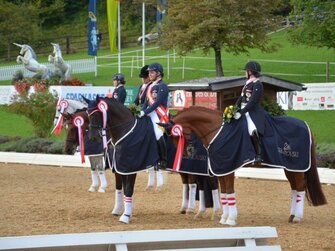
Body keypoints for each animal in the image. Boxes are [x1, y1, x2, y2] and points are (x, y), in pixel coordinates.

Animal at [167, 106, 328, 226]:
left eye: (176, 134)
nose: (185, 152)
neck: (218, 131)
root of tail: (305, 124)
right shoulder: (221, 169)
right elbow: (224, 193)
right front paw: (224, 218)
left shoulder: (228, 168)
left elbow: (229, 191)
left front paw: (231, 219)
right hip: (290, 168)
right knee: (295, 189)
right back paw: (292, 216)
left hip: (297, 167)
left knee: (300, 188)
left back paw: (297, 217)